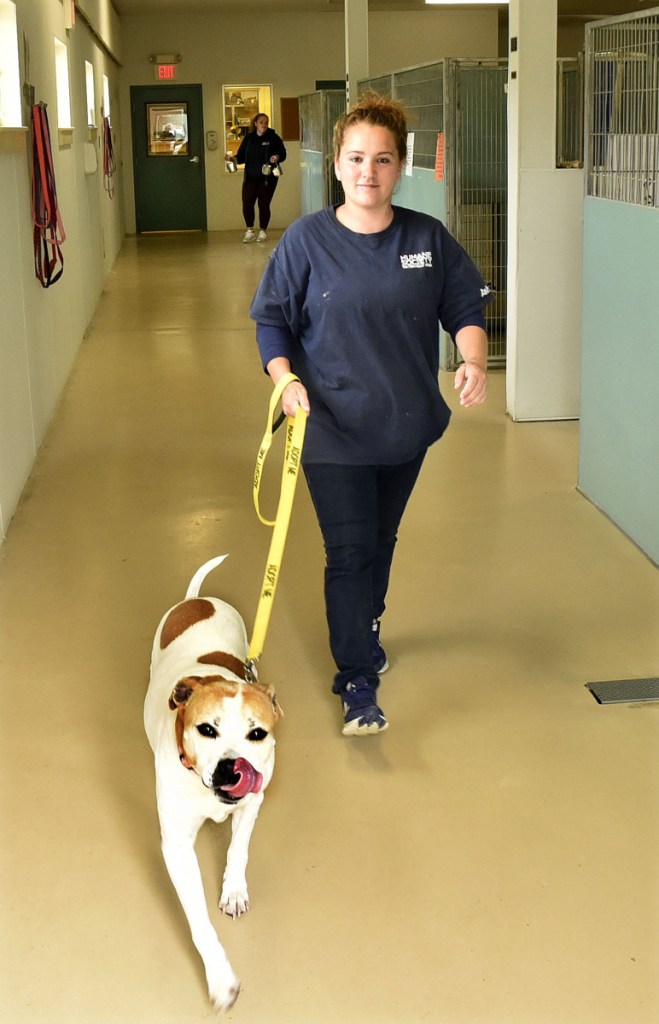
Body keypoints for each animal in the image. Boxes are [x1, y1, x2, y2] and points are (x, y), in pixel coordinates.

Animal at [144, 557, 280, 1011]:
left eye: (258, 734)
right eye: (206, 729)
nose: (231, 770)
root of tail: (198, 599)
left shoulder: (252, 804)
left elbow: (238, 849)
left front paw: (234, 890)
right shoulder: (177, 847)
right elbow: (199, 921)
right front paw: (220, 976)